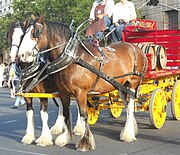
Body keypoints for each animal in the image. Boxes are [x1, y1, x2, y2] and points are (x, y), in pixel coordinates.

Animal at [17, 15, 148, 151]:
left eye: (35, 33)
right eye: (23, 35)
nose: (22, 55)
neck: (73, 57)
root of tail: (137, 48)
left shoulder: (80, 92)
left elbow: (84, 114)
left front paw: (85, 142)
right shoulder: (63, 92)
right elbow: (66, 113)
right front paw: (65, 138)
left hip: (133, 83)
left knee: (131, 104)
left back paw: (128, 134)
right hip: (121, 86)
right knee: (127, 106)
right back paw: (130, 129)